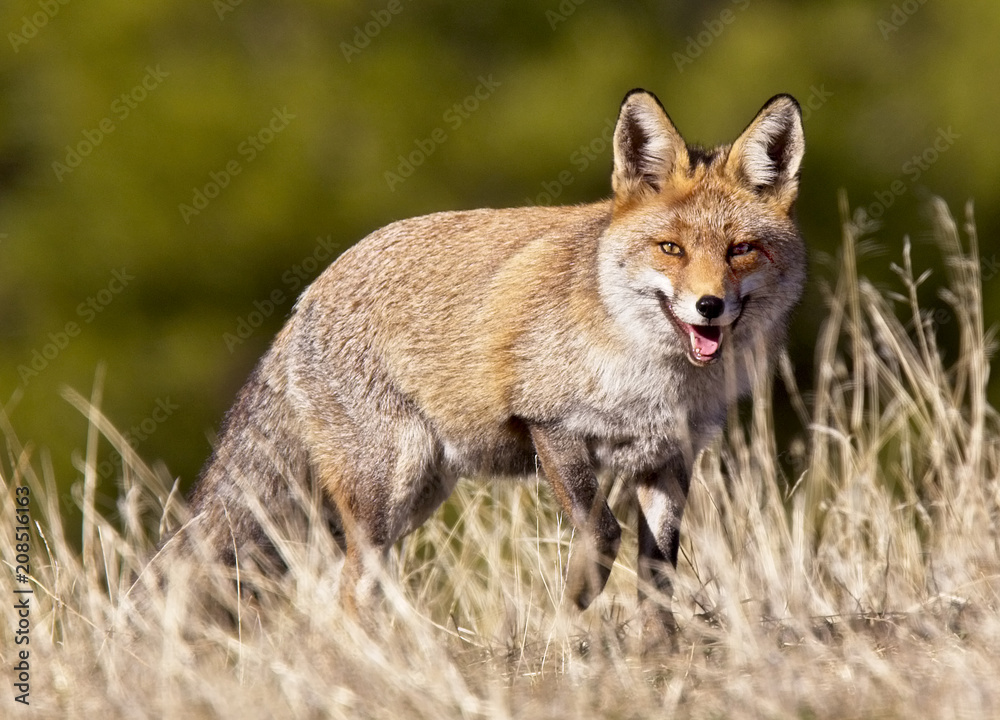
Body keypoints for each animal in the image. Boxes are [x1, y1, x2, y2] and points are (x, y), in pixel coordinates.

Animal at [150, 88, 806, 638]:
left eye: (741, 250)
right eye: (671, 249)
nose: (709, 306)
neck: (656, 378)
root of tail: (307, 295)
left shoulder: (668, 456)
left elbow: (659, 574)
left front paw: (659, 650)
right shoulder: (550, 423)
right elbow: (600, 531)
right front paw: (578, 599)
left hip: (414, 497)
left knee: (349, 584)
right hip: (386, 489)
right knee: (348, 592)